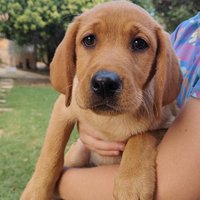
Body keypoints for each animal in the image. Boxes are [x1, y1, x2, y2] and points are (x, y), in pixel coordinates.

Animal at [20, 1, 183, 200]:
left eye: (139, 43)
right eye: (89, 40)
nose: (105, 83)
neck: (111, 120)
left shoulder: (169, 123)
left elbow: (142, 137)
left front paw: (131, 181)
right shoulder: (63, 109)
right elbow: (51, 155)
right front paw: (34, 192)